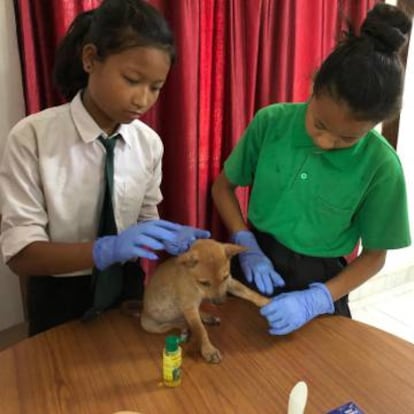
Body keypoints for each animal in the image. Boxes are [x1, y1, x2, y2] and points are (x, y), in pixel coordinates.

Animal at [141, 239, 270, 362]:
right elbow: (200, 330)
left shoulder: (229, 283)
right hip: (153, 326)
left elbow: (250, 292)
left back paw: (207, 318)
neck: (193, 281)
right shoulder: (189, 307)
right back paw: (184, 328)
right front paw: (208, 350)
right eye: (204, 283)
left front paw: (268, 302)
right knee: (175, 324)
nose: (221, 302)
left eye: (225, 277)